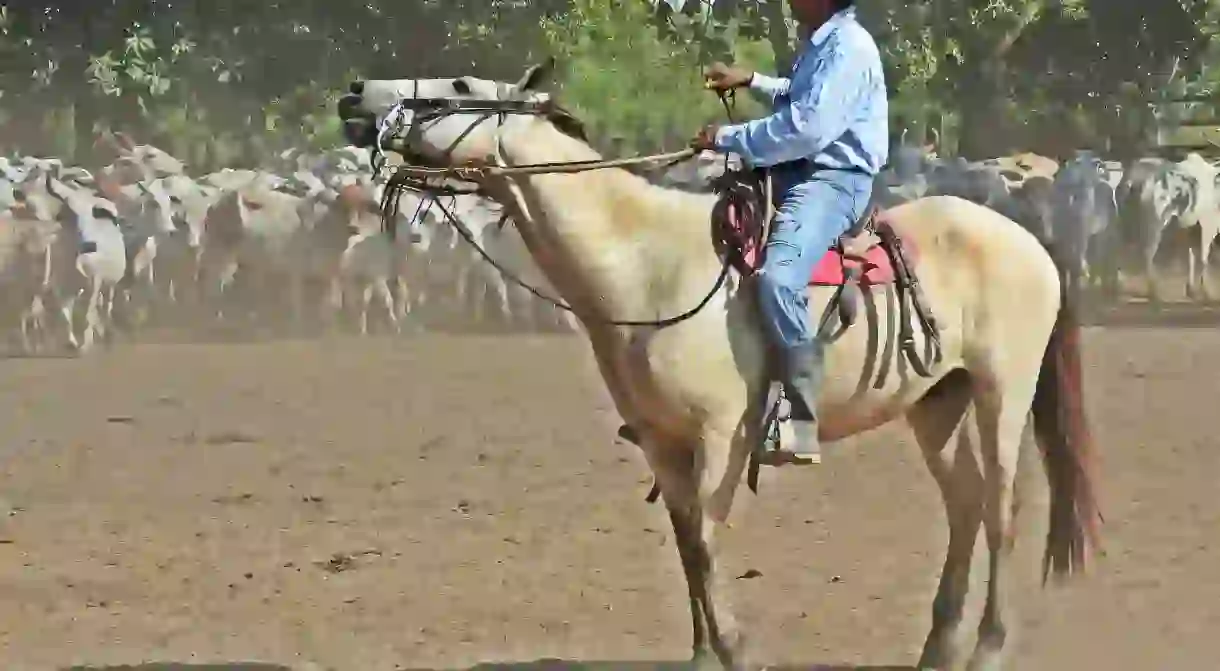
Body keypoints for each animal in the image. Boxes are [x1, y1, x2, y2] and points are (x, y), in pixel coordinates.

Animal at [336, 60, 1107, 668]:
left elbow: (706, 543)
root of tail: (1030, 241)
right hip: (936, 403)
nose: (356, 94)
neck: (648, 262)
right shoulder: (662, 441)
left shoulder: (722, 435)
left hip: (1001, 392)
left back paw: (987, 647)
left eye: (461, 86)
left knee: (1002, 508)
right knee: (967, 503)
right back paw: (939, 647)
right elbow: (686, 548)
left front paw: (734, 648)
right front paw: (706, 653)